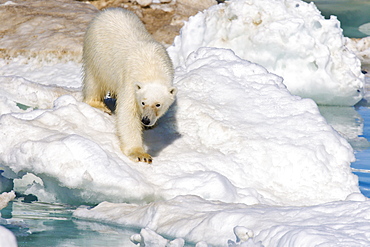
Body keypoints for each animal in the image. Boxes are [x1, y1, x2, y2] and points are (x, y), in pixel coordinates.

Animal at [82, 8, 178, 164]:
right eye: (143, 102)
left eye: (158, 104)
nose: (146, 120)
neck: (152, 68)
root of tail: (108, 11)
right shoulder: (130, 83)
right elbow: (128, 114)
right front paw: (140, 154)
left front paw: (152, 125)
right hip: (96, 53)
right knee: (94, 80)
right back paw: (98, 104)